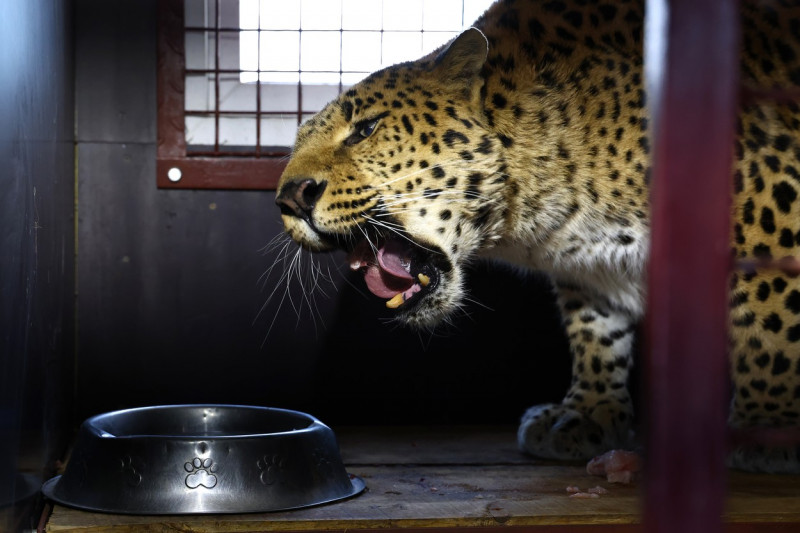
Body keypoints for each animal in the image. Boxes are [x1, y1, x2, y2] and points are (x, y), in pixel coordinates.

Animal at [274, 0, 800, 474]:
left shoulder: (763, 206)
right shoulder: (589, 266)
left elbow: (766, 322)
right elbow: (595, 331)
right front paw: (586, 413)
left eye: (366, 129)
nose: (290, 198)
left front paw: (766, 428)